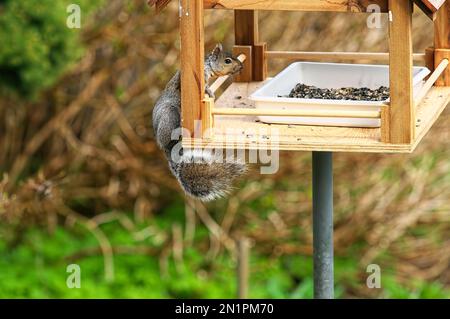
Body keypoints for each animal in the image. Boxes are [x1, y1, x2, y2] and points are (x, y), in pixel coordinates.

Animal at [154, 43, 246, 201]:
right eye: (227, 61)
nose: (241, 67)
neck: (208, 65)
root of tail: (167, 149)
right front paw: (210, 92)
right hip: (169, 115)